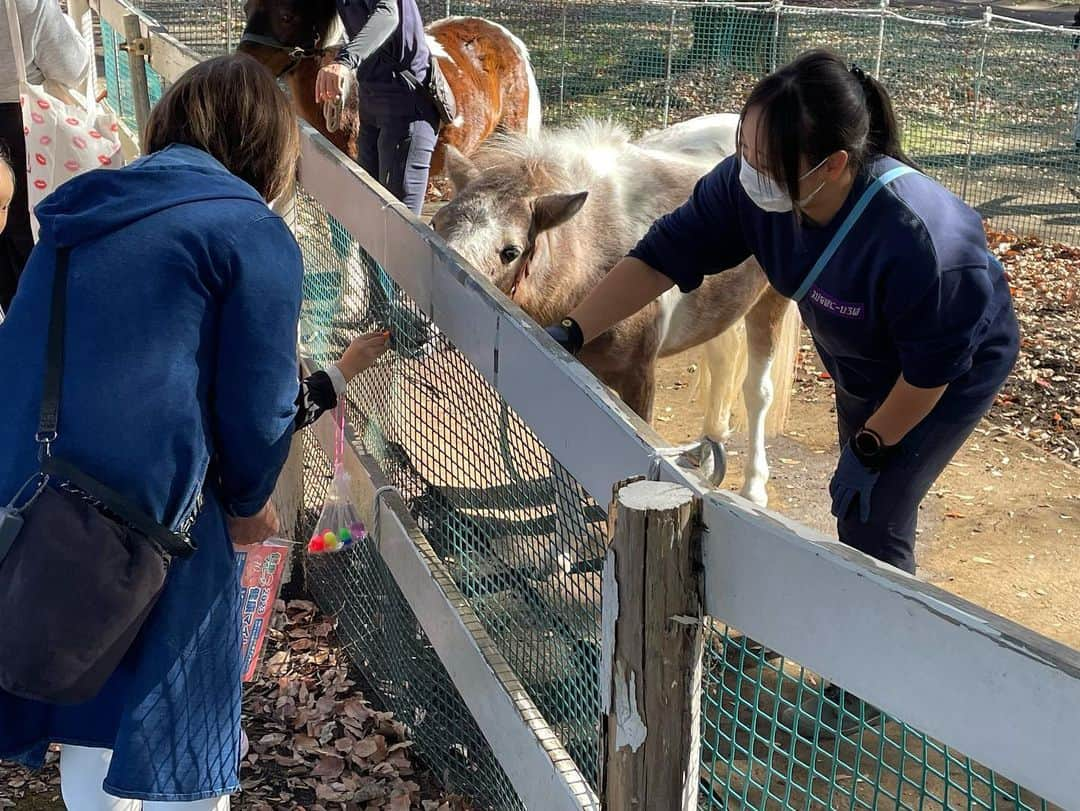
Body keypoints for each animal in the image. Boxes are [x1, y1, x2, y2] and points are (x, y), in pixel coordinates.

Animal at [432, 116, 803, 505]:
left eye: (510, 252)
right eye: (436, 224)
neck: (590, 256)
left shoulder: (637, 378)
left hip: (771, 302)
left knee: (757, 391)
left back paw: (753, 488)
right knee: (722, 364)